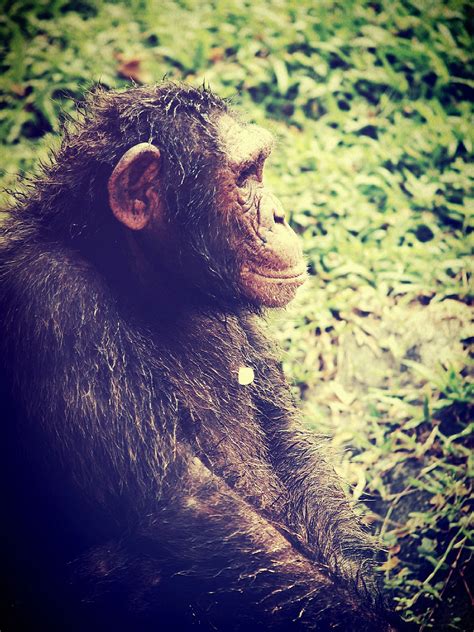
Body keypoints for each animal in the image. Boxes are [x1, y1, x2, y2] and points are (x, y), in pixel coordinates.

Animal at [0, 85, 404, 632]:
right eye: (246, 176)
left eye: (259, 169)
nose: (280, 215)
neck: (143, 282)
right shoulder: (53, 299)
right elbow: (185, 504)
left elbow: (290, 450)